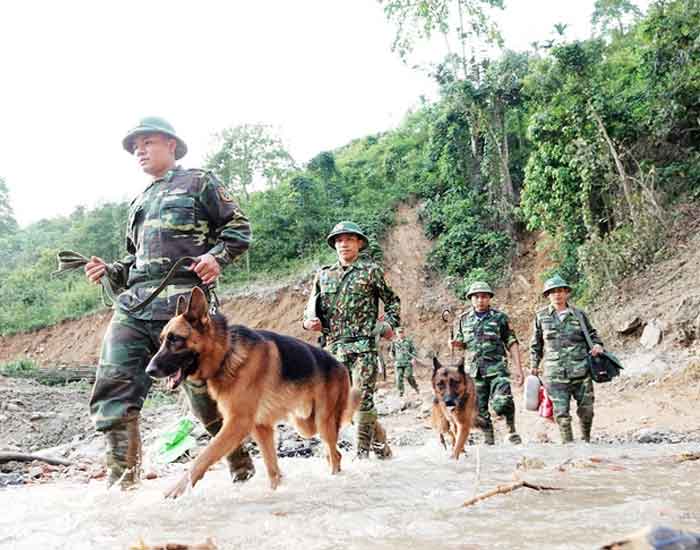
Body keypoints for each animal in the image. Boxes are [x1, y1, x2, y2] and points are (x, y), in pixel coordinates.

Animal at [144, 288, 360, 500]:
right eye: (162, 340)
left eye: (175, 339)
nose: (149, 371)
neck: (226, 353)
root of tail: (340, 364)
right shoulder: (260, 427)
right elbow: (272, 468)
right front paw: (274, 492)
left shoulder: (237, 423)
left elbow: (204, 455)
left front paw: (177, 489)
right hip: (304, 423)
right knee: (331, 453)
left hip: (322, 422)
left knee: (335, 454)